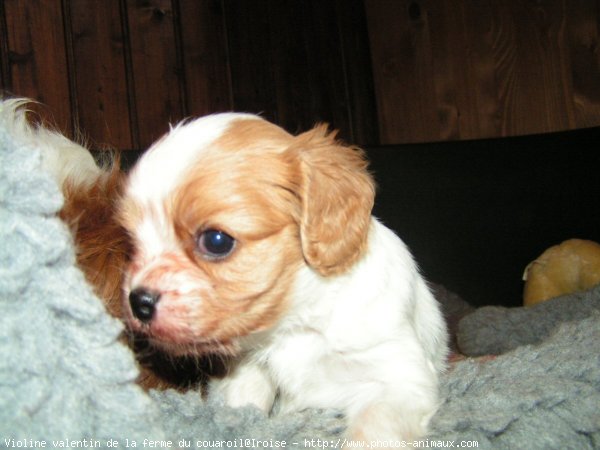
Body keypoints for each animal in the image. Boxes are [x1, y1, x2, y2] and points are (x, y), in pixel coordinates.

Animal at [117, 114, 448, 444]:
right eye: (133, 243)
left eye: (216, 241)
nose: (138, 302)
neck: (292, 324)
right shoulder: (247, 367)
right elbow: (244, 402)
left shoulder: (400, 378)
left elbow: (372, 430)